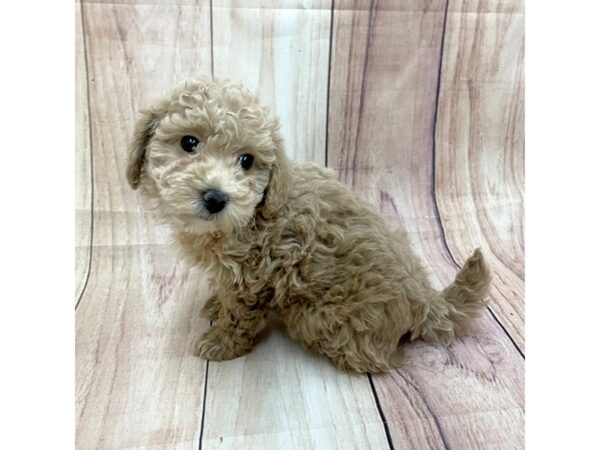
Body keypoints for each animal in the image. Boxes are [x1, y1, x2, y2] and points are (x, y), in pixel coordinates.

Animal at [124, 78, 490, 372]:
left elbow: (239, 315)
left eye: (246, 161)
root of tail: (424, 300)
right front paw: (215, 302)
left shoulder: (251, 279)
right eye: (189, 143)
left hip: (317, 317)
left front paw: (221, 343)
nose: (216, 197)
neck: (252, 215)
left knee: (379, 358)